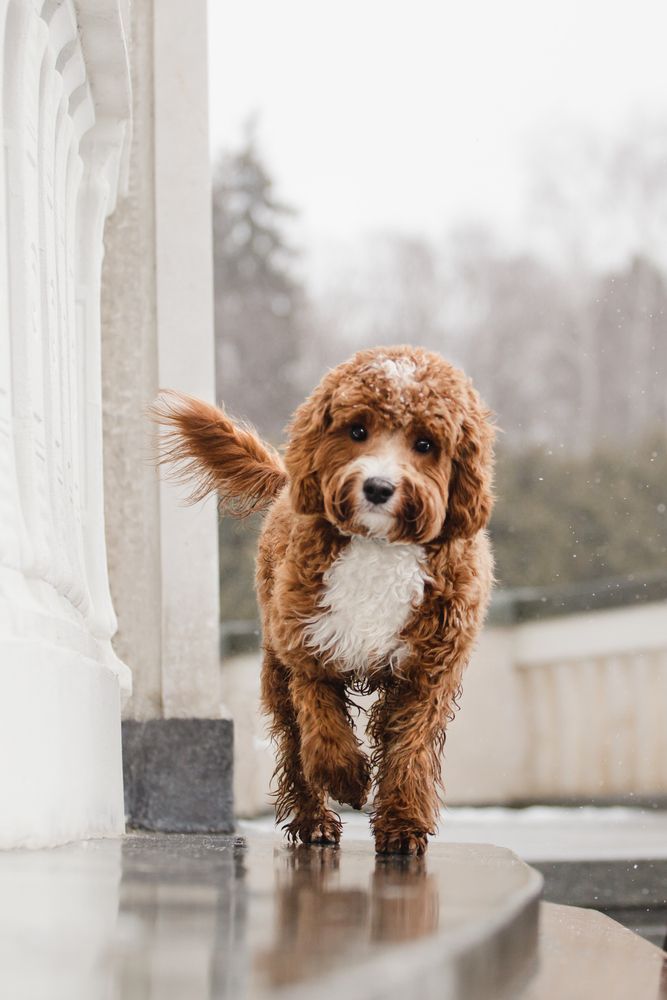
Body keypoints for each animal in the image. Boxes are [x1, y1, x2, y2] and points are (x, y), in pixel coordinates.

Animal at [153, 348, 496, 856]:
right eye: (357, 430)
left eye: (425, 443)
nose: (378, 487)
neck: (377, 546)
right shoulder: (308, 648)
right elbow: (322, 728)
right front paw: (348, 780)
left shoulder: (427, 672)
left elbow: (408, 750)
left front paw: (402, 826)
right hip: (276, 665)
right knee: (294, 743)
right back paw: (313, 821)